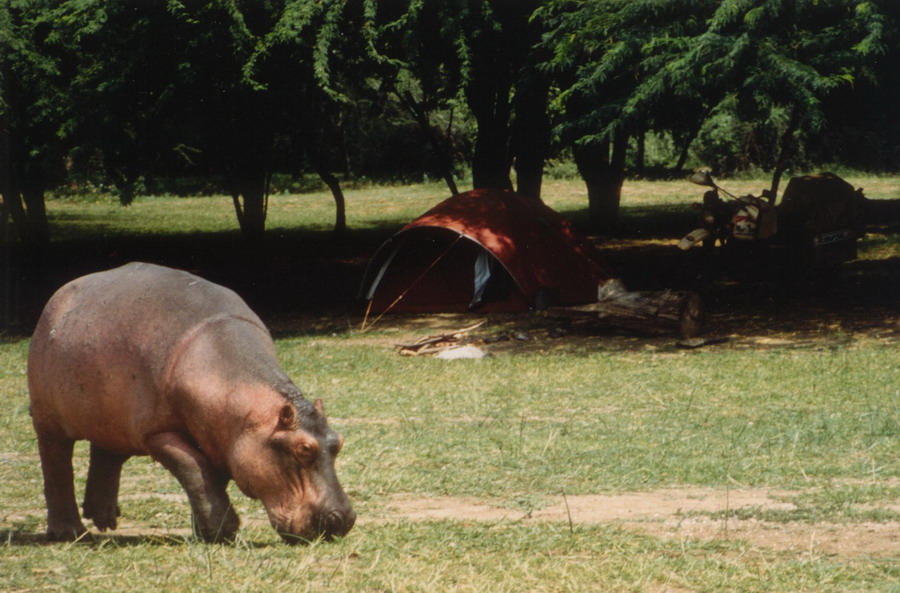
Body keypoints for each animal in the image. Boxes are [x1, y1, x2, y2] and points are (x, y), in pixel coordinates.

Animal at [25, 262, 356, 540]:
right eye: (303, 449)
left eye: (338, 441)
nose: (343, 519)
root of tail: (61, 293)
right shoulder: (158, 433)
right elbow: (195, 470)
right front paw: (224, 531)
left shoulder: (218, 436)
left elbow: (208, 481)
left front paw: (206, 531)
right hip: (49, 421)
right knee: (56, 466)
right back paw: (70, 533)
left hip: (110, 418)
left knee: (106, 454)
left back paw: (104, 519)